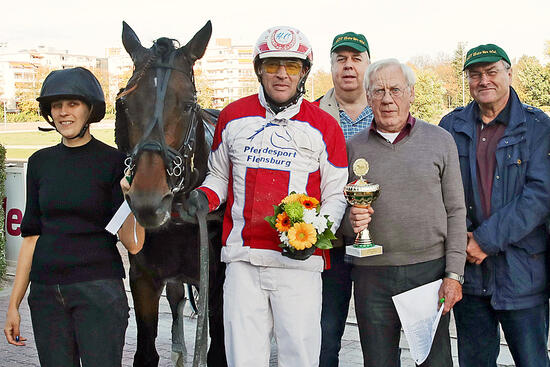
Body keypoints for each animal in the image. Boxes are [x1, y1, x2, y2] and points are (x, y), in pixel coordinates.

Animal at [115, 20, 227, 367]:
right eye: (123, 103)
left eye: (188, 105)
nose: (148, 202)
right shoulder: (143, 278)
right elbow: (145, 353)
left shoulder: (219, 281)